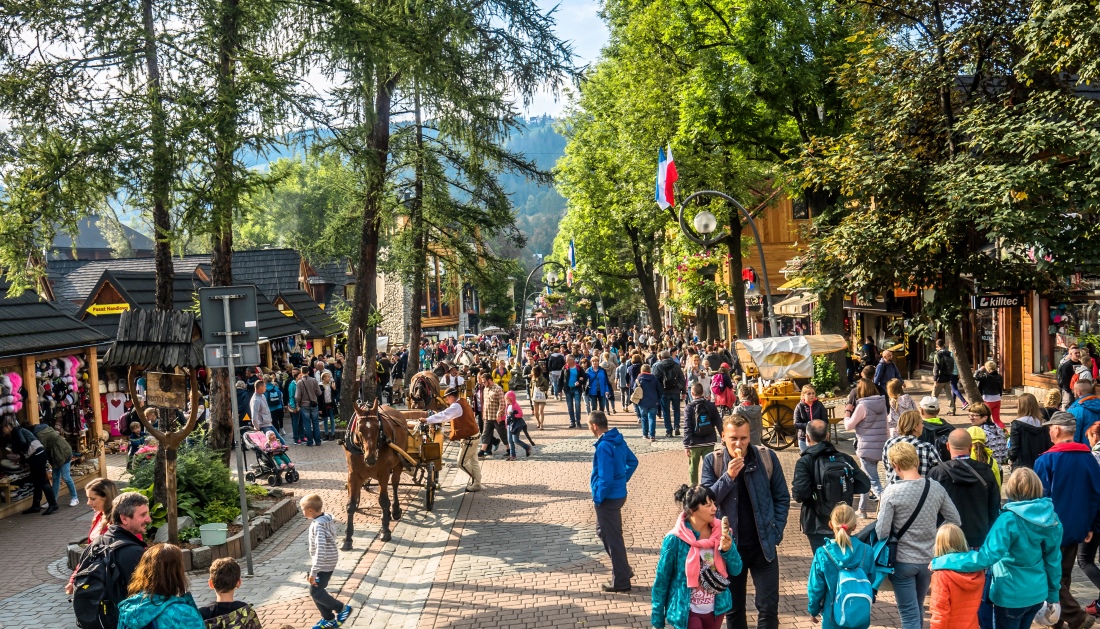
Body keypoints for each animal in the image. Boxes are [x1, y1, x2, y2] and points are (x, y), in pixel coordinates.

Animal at [341, 400, 407, 547]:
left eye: (378, 428)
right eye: (359, 429)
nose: (370, 458)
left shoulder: (383, 473)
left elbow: (383, 500)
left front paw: (386, 531)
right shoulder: (353, 475)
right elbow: (351, 505)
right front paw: (347, 538)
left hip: (398, 463)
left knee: (394, 484)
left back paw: (394, 510)